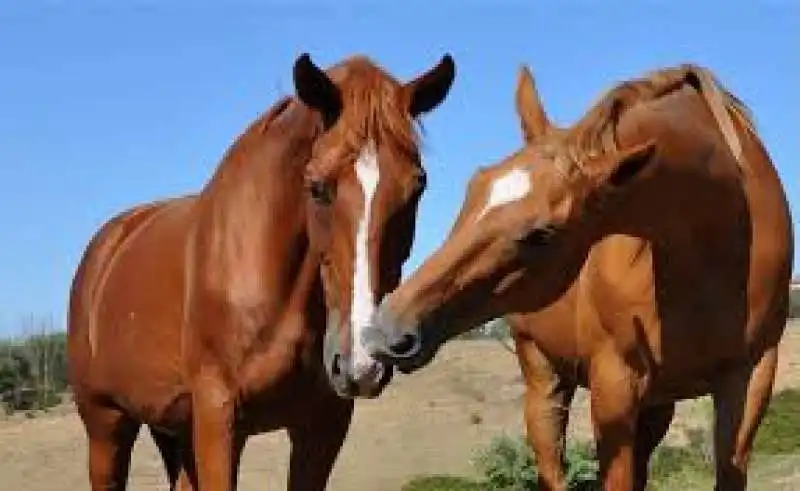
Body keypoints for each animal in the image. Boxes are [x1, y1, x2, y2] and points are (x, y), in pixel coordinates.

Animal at [67, 52, 456, 490]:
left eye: (417, 187)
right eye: (316, 186)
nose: (362, 360)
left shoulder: (322, 426)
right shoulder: (219, 419)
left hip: (172, 428)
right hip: (106, 425)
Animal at [368, 63, 792, 490]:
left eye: (541, 235)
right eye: (475, 185)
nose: (388, 329)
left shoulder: (750, 377)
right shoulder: (614, 384)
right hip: (543, 379)